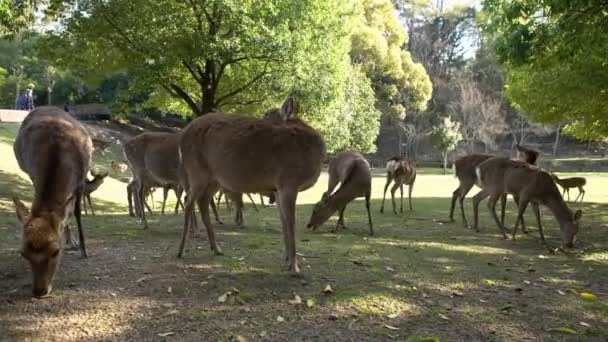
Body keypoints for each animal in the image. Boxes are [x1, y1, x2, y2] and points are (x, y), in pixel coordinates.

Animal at [11, 106, 92, 296]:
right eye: (23, 253)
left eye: (56, 251)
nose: (39, 291)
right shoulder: (33, 174)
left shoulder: (80, 181)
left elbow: (76, 212)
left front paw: (84, 249)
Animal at [178, 97, 326, 276]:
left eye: (267, 115)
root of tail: (181, 139)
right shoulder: (289, 182)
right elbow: (291, 222)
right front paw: (295, 267)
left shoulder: (277, 188)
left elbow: (283, 221)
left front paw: (287, 259)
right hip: (196, 171)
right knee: (189, 201)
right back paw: (181, 250)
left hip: (214, 179)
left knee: (202, 202)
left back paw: (217, 248)